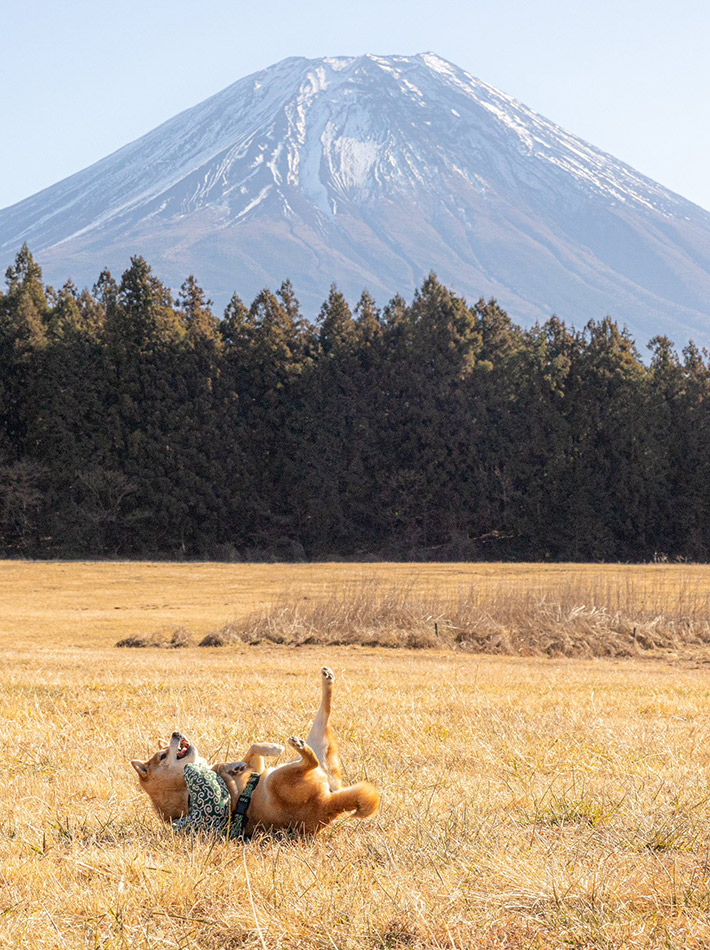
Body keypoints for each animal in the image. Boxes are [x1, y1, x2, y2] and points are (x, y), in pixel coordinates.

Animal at [131, 668, 382, 840]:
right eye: (163, 756)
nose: (175, 733)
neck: (181, 788)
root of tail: (327, 804)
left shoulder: (256, 766)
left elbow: (252, 749)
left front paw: (250, 758)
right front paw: (236, 765)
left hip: (313, 744)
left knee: (325, 711)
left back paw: (327, 679)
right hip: (280, 779)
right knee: (310, 762)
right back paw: (300, 747)